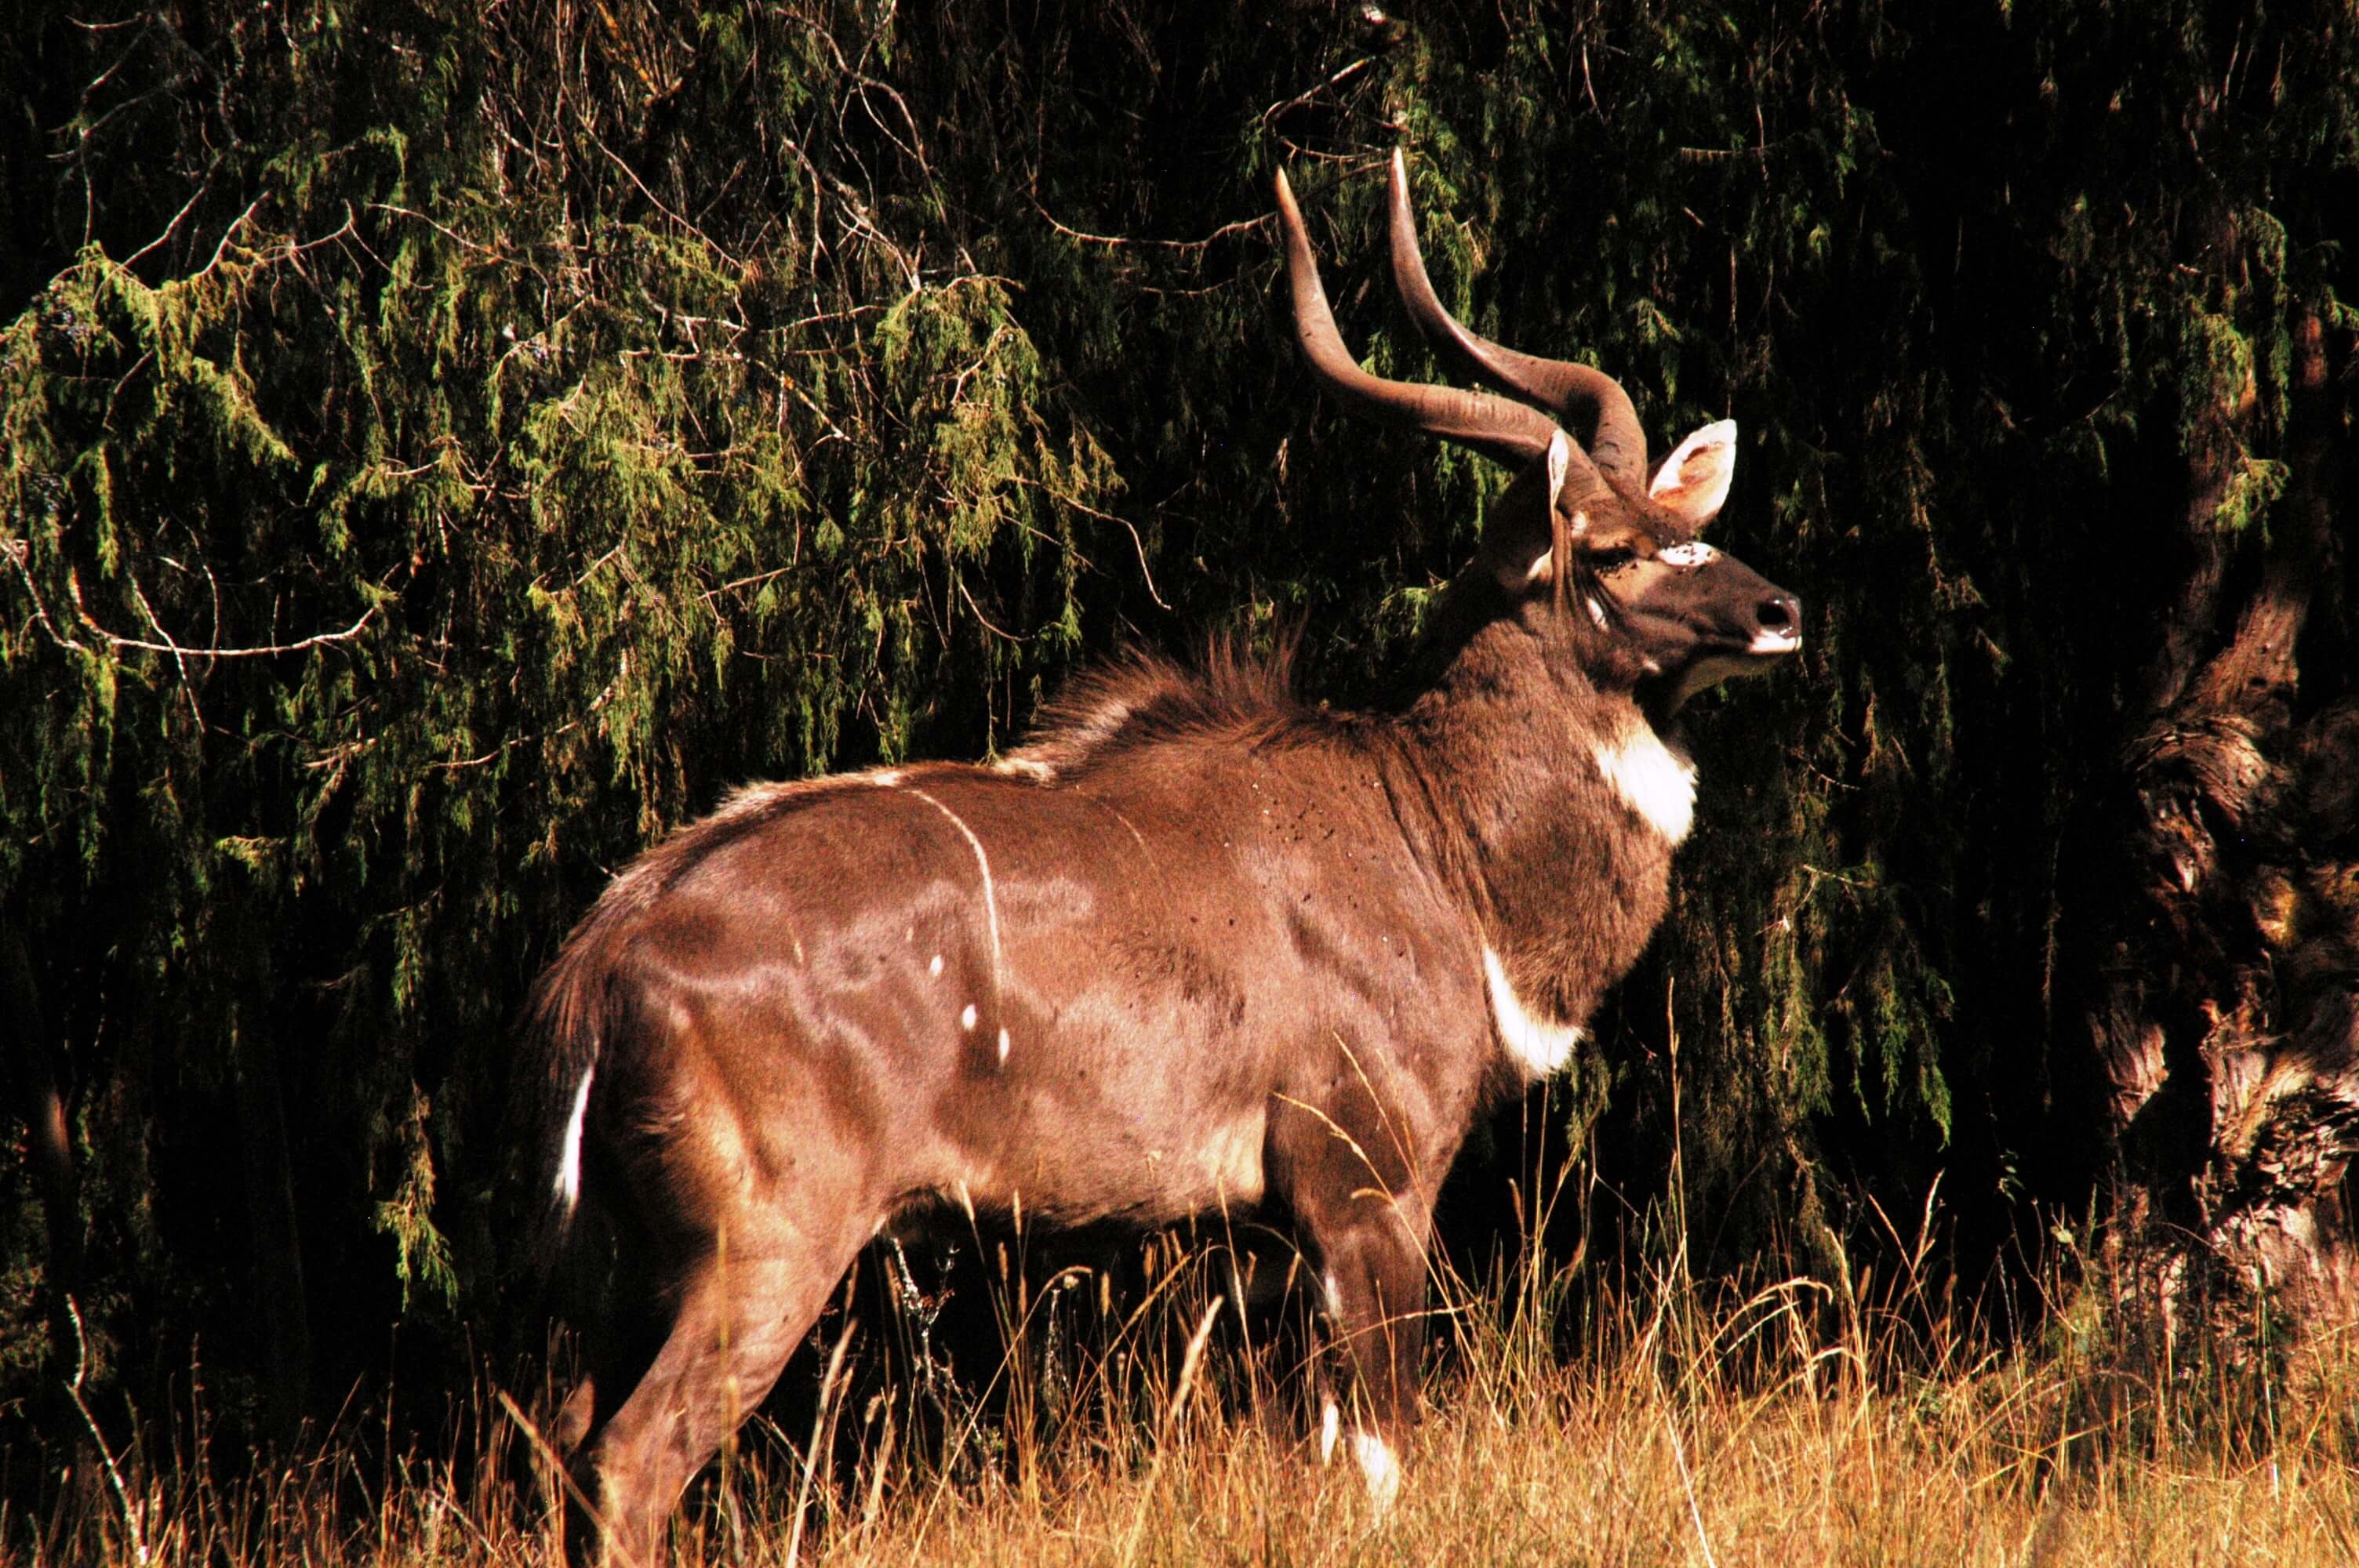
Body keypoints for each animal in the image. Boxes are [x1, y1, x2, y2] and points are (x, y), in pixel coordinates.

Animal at [525, 149, 1793, 1565]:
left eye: (1680, 520)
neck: (1433, 836)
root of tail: (608, 956)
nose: (1777, 610)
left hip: (619, 1277)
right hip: (767, 1244)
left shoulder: (1269, 1237)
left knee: (562, 1446)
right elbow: (1382, 1459)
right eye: (1616, 551)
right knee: (629, 1459)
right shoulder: (1363, 1186)